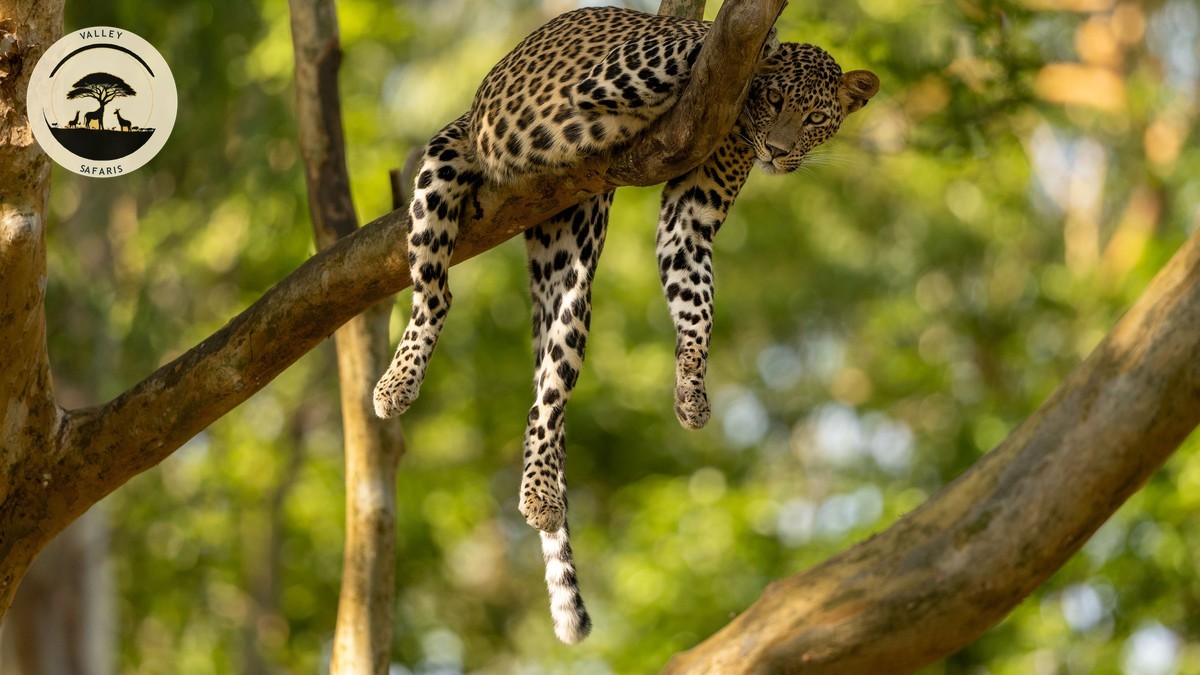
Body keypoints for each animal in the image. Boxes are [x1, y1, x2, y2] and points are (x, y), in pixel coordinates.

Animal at [372, 5, 879, 644]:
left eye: (814, 119)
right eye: (773, 98)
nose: (778, 150)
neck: (733, 114)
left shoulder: (691, 215)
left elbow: (697, 304)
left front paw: (691, 391)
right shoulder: (623, 71)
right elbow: (714, 39)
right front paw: (766, 36)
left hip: (571, 266)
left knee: (550, 390)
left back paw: (541, 491)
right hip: (446, 160)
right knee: (434, 293)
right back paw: (397, 384)